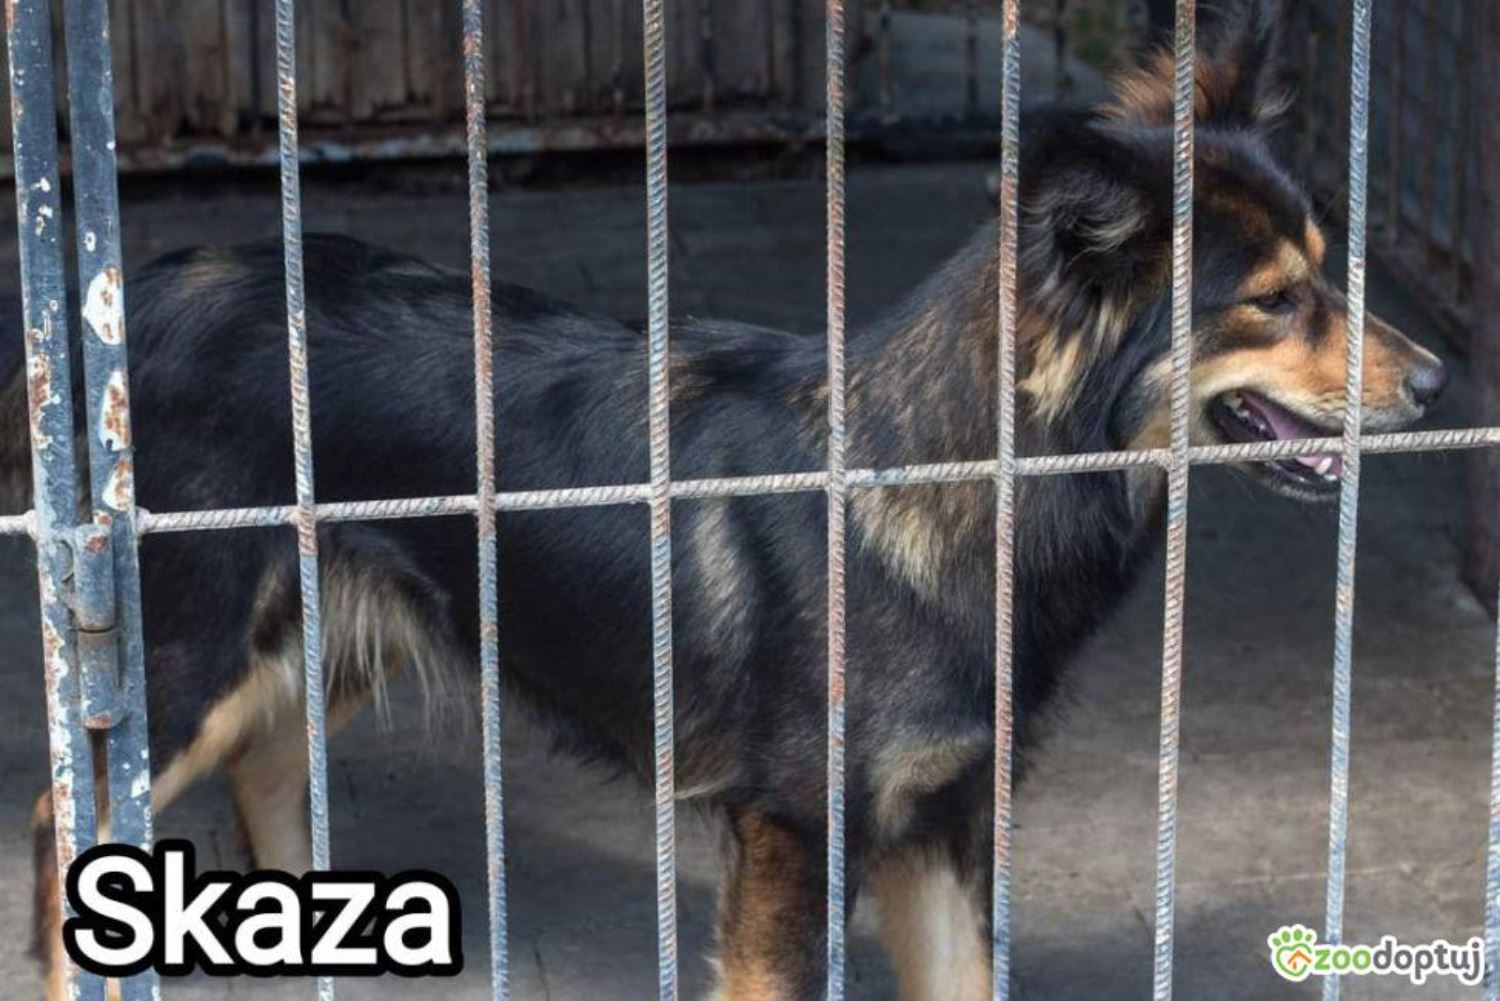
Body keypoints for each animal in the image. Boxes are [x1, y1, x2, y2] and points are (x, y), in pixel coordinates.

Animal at [5, 1, 1447, 997]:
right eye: (1274, 303)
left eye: (1328, 271)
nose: (1441, 380)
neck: (949, 483)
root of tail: (150, 285)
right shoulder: (793, 836)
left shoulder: (943, 828)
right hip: (190, 655)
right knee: (62, 818)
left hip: (341, 624)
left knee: (266, 762)